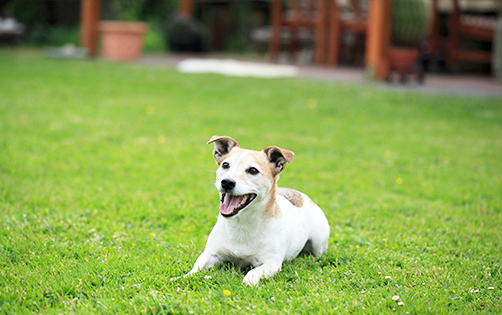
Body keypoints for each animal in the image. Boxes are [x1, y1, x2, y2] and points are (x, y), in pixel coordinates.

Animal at [179, 136, 330, 286]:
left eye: (253, 170)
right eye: (225, 165)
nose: (227, 182)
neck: (241, 224)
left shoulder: (271, 264)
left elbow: (253, 273)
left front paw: (247, 283)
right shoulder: (211, 254)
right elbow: (196, 267)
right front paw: (183, 277)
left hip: (318, 243)